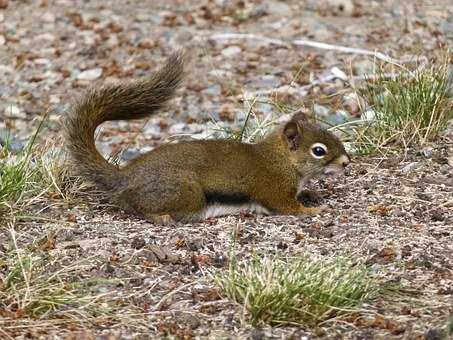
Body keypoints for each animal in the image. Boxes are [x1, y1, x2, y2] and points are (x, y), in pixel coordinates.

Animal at [64, 51, 350, 223]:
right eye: (319, 150)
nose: (347, 162)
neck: (281, 160)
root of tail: (125, 176)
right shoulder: (273, 189)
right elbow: (287, 208)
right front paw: (314, 209)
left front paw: (311, 194)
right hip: (185, 192)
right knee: (137, 206)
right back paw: (161, 217)